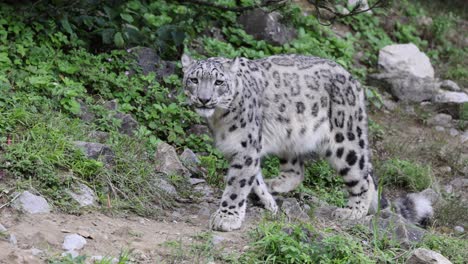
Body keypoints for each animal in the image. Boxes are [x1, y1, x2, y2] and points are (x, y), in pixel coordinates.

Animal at [181, 54, 434, 231]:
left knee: (363, 177)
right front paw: (269, 202)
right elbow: (252, 178)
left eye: (219, 81)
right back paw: (276, 185)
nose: (204, 99)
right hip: (290, 137)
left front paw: (226, 218)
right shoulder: (240, 149)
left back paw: (352, 211)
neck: (218, 119)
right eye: (193, 79)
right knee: (296, 170)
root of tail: (353, 80)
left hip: (345, 140)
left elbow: (237, 185)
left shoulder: (246, 146)